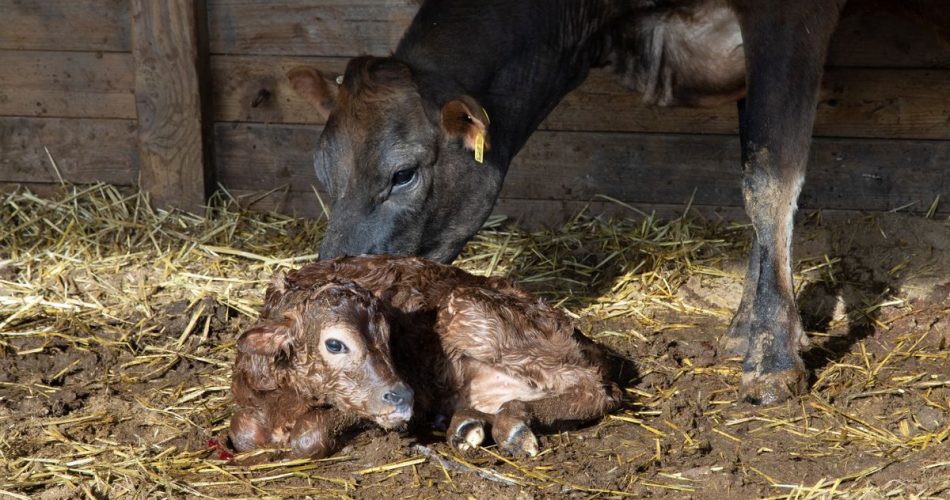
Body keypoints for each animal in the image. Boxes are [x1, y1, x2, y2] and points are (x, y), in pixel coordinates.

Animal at [285, 0, 945, 404]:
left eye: (402, 174)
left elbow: (769, 175)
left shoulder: (788, 16)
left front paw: (774, 357)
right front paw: (749, 325)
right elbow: (753, 173)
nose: (325, 281)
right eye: (320, 171)